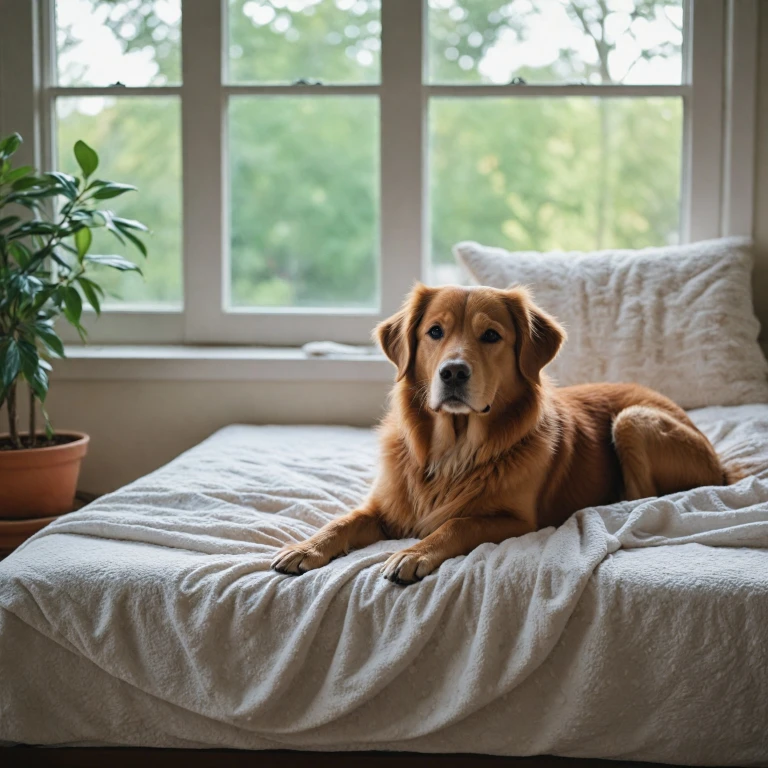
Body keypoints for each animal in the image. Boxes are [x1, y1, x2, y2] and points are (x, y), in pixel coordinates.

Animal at [272, 284, 728, 584]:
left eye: (491, 335)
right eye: (434, 332)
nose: (453, 372)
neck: (454, 449)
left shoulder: (516, 521)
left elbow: (456, 525)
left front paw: (413, 553)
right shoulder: (384, 508)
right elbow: (343, 521)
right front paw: (305, 547)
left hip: (632, 420)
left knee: (644, 497)